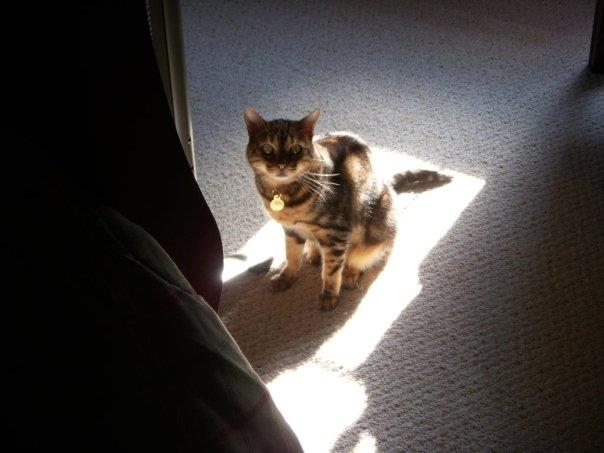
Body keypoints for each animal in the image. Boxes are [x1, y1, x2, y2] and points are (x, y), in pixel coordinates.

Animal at [244, 108, 450, 310]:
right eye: (267, 149)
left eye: (296, 149)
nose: (282, 165)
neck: (284, 196)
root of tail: (386, 182)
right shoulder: (292, 230)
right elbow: (292, 256)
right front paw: (286, 277)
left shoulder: (336, 233)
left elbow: (331, 270)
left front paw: (329, 295)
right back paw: (314, 253)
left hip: (374, 228)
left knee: (365, 254)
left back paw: (350, 272)